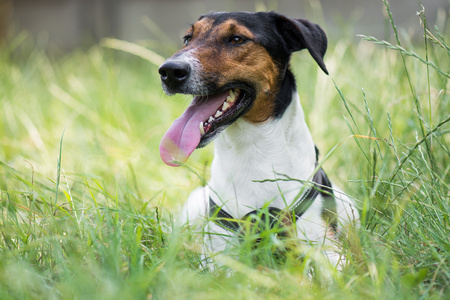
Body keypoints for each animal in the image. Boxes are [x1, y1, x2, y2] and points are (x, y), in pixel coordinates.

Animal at [158, 11, 358, 268]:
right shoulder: (218, 257)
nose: (169, 71)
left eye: (237, 39)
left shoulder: (330, 251)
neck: (252, 152)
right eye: (187, 38)